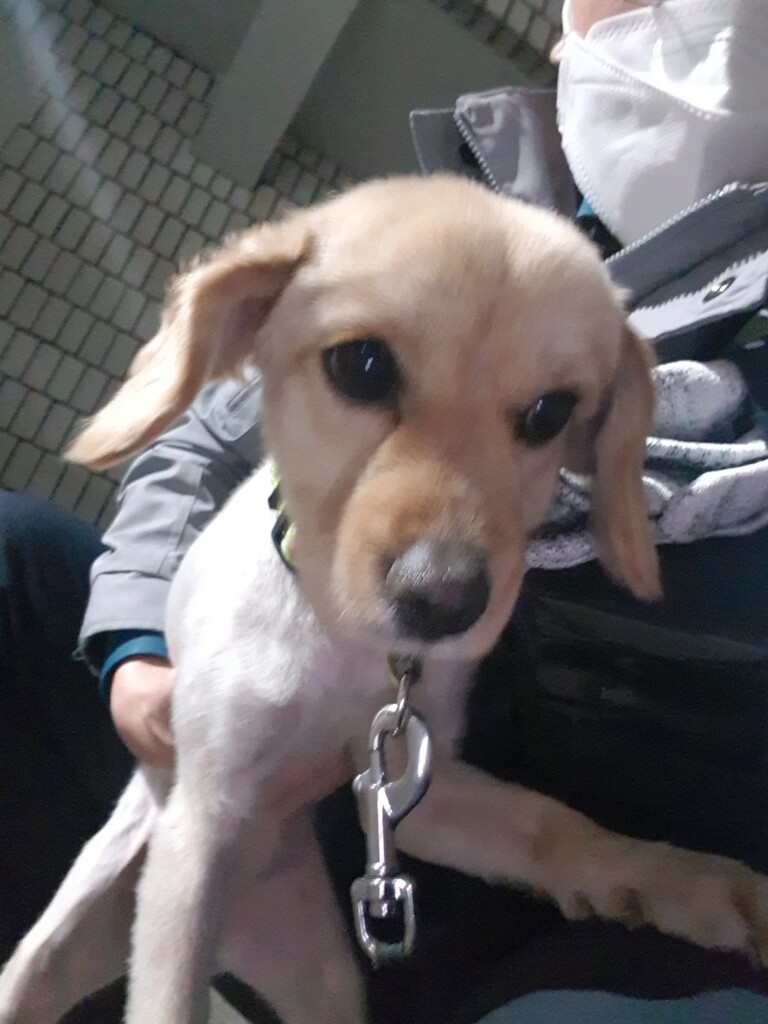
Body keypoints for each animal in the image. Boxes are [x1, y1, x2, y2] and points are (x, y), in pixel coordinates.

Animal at [2, 175, 767, 1024]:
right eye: (362, 366)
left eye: (552, 413)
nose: (444, 603)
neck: (350, 655)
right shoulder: (205, 819)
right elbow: (166, 1002)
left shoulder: (417, 793)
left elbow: (552, 824)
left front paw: (689, 883)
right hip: (68, 940)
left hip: (327, 982)